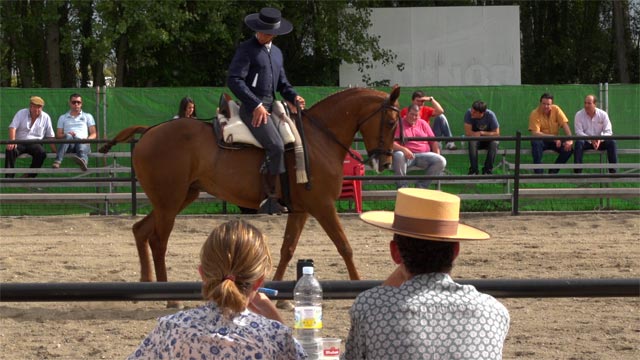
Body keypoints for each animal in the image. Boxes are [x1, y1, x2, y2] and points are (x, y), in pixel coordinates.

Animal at [100, 86, 400, 306]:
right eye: (391, 121)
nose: (384, 162)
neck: (317, 140)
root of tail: (150, 131)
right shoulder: (323, 206)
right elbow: (344, 246)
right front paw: (357, 286)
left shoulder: (302, 210)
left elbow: (287, 249)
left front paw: (280, 298)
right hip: (169, 201)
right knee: (158, 241)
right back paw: (170, 298)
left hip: (177, 199)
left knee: (141, 230)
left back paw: (145, 285)